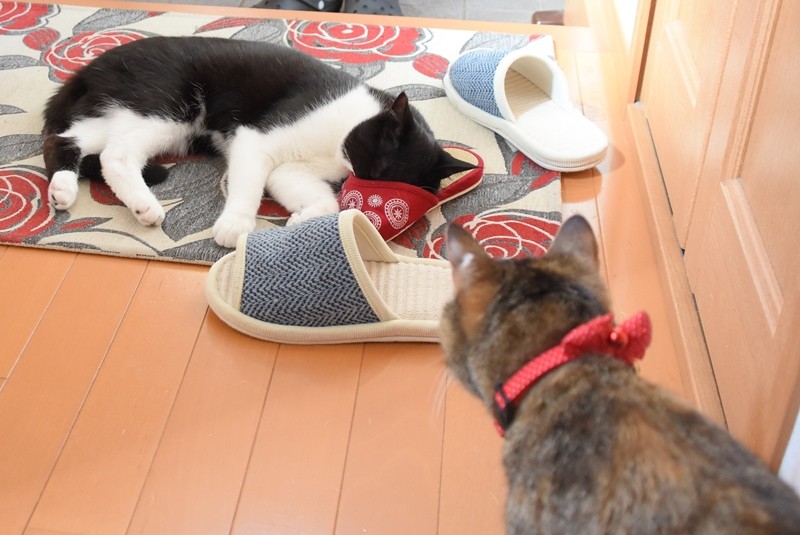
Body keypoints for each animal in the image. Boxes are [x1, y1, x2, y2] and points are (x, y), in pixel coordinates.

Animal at [42, 35, 474, 247]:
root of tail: (94, 66)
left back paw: (71, 190)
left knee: (71, 140)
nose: (360, 186)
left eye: (397, 184)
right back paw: (139, 204)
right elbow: (249, 184)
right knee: (112, 152)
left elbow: (320, 197)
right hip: (166, 108)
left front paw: (301, 217)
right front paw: (235, 226)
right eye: (381, 167)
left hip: (130, 115)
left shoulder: (292, 169)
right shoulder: (255, 137)